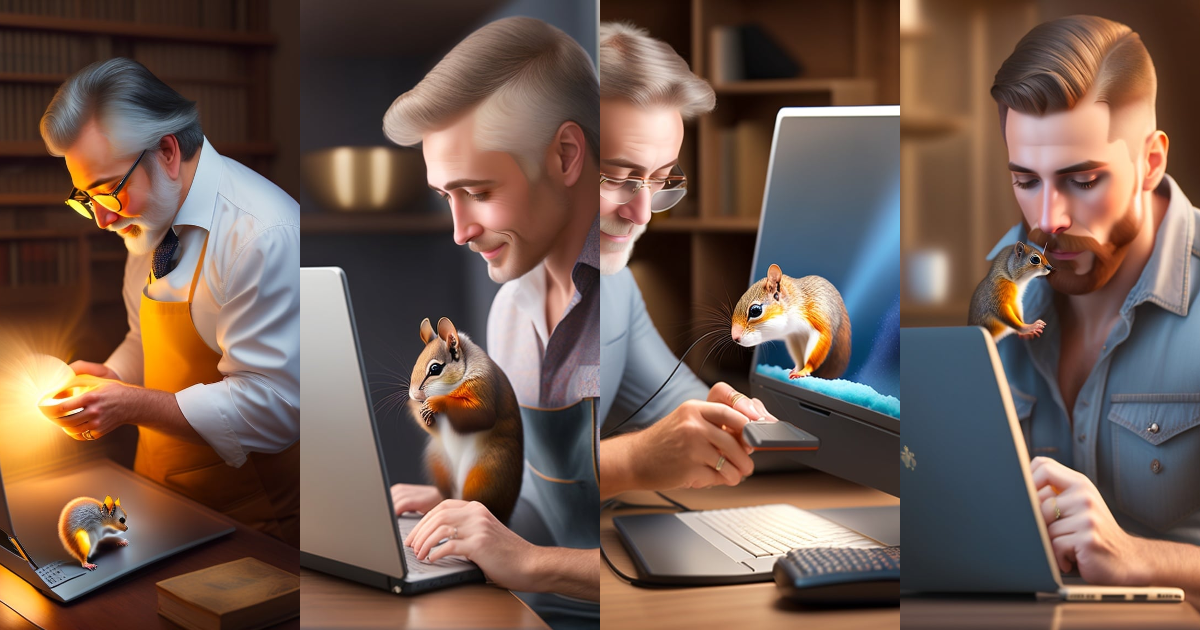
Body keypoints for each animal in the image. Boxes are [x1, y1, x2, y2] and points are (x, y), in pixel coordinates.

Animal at [408, 317, 523, 524]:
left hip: (489, 470)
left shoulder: (483, 386)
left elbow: (481, 416)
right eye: (415, 364)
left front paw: (436, 402)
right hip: (440, 464)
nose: (413, 394)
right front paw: (418, 409)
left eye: (435, 368)